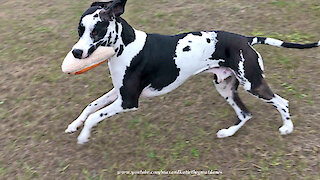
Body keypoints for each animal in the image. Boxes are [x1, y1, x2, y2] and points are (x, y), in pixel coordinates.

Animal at [65, 0, 320, 143]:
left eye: (96, 31)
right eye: (79, 30)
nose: (76, 53)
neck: (126, 46)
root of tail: (246, 39)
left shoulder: (127, 101)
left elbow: (95, 116)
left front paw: (84, 136)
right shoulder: (118, 93)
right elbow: (90, 107)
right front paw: (74, 125)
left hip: (252, 84)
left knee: (282, 102)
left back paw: (287, 127)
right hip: (225, 87)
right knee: (245, 114)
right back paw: (227, 133)